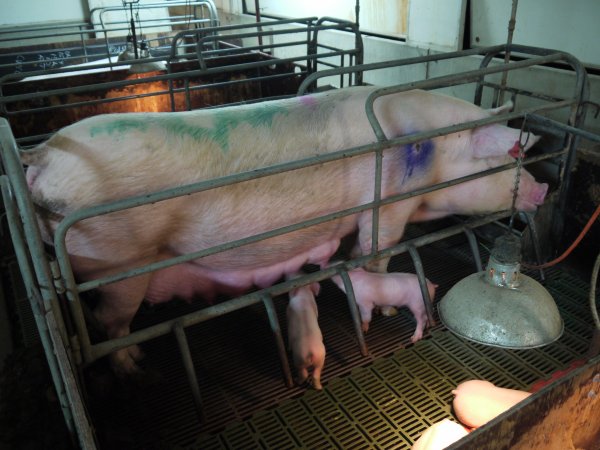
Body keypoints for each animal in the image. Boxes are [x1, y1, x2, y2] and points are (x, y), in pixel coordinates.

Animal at [23, 86, 548, 374]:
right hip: (118, 264)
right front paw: (380, 310)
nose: (543, 189)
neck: (431, 153)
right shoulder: (389, 204)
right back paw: (135, 367)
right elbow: (377, 250)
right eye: (512, 159)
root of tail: (40, 156)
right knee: (108, 324)